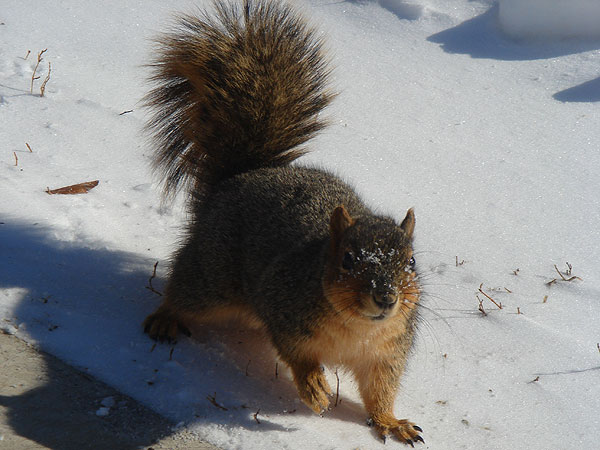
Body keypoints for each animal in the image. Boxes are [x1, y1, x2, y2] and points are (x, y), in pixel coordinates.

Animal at [142, 0, 422, 442]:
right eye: (347, 259)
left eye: (411, 262)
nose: (386, 298)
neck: (358, 328)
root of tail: (239, 178)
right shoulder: (284, 308)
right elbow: (296, 355)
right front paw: (314, 387)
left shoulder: (386, 355)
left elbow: (380, 391)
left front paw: (392, 422)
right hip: (214, 276)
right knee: (184, 291)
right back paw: (165, 319)